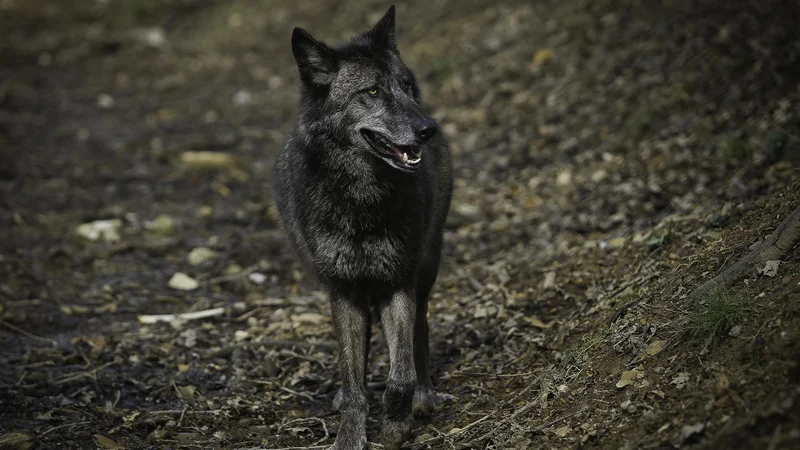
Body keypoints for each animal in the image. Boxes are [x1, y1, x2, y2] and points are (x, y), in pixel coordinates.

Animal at [272, 4, 454, 450]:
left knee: (419, 331)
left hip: (426, 265)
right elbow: (352, 373)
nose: (428, 129)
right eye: (371, 92)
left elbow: (400, 372)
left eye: (405, 87)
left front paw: (396, 423)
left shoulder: (398, 282)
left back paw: (423, 393)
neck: (360, 199)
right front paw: (351, 432)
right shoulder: (342, 290)